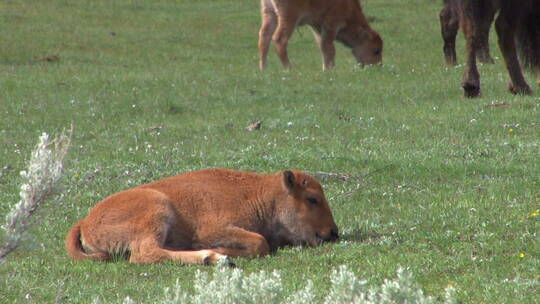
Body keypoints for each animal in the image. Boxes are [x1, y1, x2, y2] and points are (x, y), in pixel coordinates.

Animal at [66, 167, 338, 264]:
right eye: (312, 198)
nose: (333, 233)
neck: (262, 195)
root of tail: (85, 220)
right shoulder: (212, 229)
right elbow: (260, 243)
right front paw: (221, 251)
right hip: (157, 209)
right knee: (144, 254)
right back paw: (212, 257)